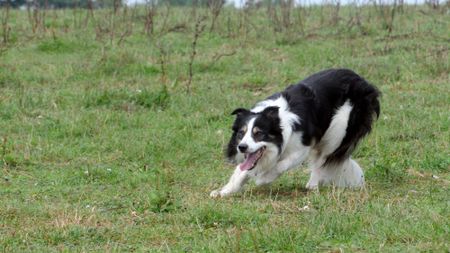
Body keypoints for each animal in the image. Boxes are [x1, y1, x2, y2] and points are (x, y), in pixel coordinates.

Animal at [211, 68, 380, 198]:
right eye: (241, 133)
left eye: (258, 133)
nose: (242, 147)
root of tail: (363, 81)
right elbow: (241, 171)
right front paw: (224, 191)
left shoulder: (302, 147)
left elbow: (281, 165)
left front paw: (264, 178)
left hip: (340, 128)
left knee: (322, 159)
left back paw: (312, 186)